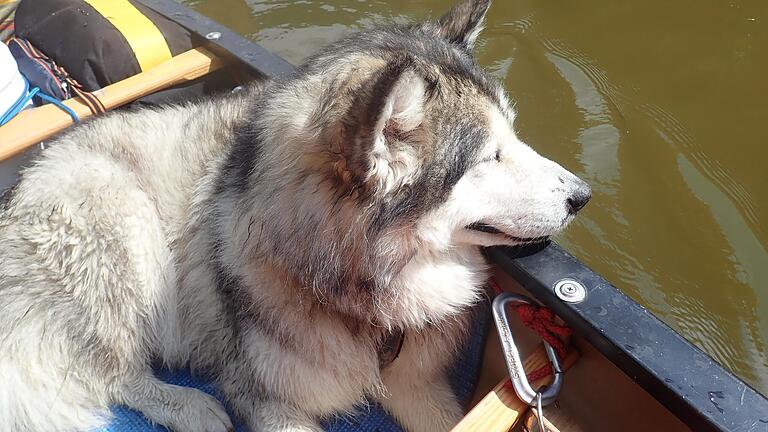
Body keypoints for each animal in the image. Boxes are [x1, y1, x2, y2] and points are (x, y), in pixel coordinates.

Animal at [0, 1, 592, 430]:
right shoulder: (269, 400)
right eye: (490, 157)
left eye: (513, 134)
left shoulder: (419, 384)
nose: (582, 196)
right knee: (113, 371)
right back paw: (189, 407)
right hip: (120, 220)